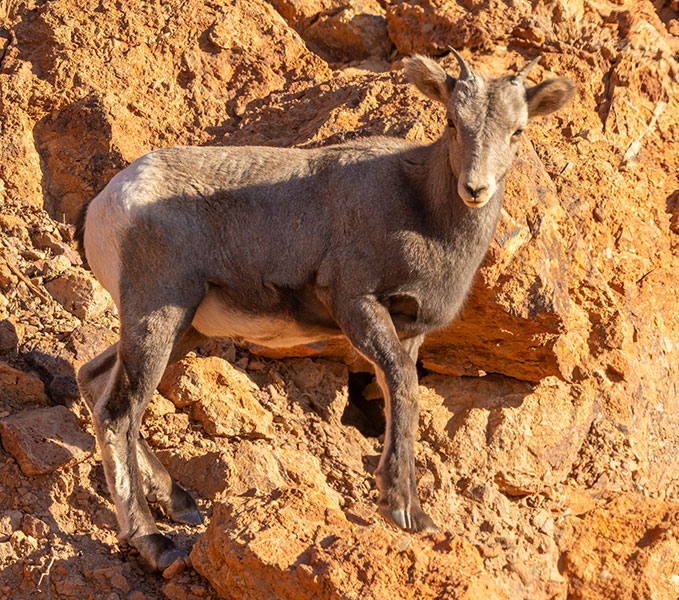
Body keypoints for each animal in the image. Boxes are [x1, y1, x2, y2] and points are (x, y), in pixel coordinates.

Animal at [75, 50, 575, 570]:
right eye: (453, 122)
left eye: (517, 131)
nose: (475, 188)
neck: (424, 213)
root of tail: (105, 205)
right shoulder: (356, 304)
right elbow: (404, 388)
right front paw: (406, 511)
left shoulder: (408, 332)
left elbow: (401, 395)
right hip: (157, 315)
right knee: (118, 413)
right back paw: (156, 543)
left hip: (183, 328)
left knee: (93, 379)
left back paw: (179, 501)